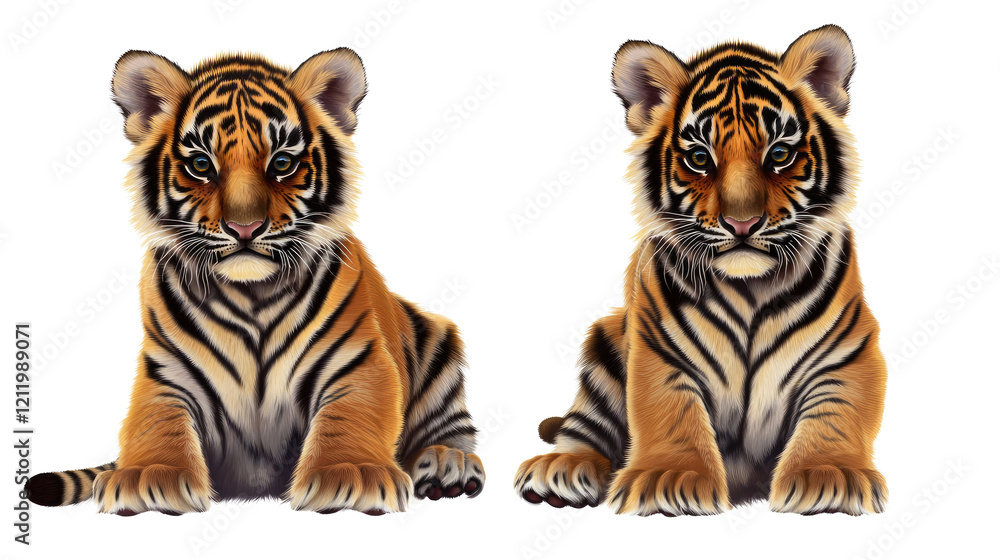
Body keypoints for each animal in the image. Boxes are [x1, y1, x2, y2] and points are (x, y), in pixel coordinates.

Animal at [25, 48, 485, 515]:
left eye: (282, 163)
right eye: (201, 164)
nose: (244, 228)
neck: (252, 294)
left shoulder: (356, 360)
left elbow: (352, 414)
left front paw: (349, 473)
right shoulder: (168, 371)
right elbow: (155, 420)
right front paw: (150, 476)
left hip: (436, 339)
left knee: (450, 428)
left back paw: (447, 464)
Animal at [514, 25, 888, 516]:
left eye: (779, 154)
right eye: (699, 158)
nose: (742, 224)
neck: (750, 289)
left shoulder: (848, 353)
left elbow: (837, 410)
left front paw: (827, 475)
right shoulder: (660, 353)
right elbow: (670, 411)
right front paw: (671, 478)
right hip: (606, 339)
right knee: (583, 427)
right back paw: (560, 470)